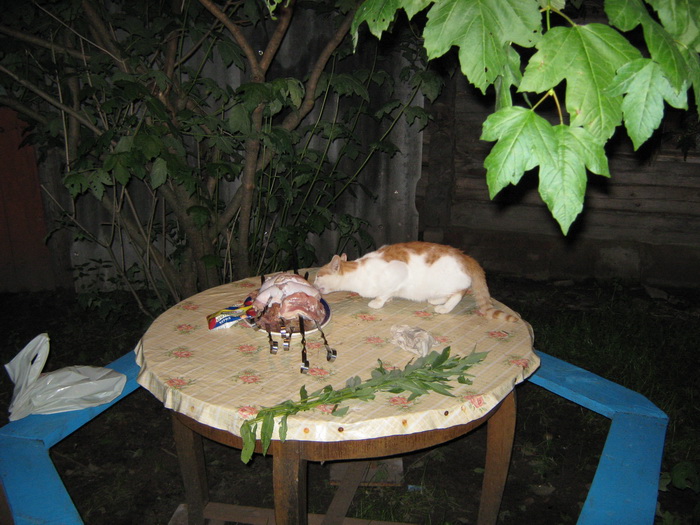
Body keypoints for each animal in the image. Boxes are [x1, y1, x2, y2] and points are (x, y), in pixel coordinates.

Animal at [314, 241, 519, 322]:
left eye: (317, 276)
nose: (313, 284)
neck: (358, 271)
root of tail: (466, 257)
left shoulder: (399, 272)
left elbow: (385, 293)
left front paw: (378, 302)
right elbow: (388, 293)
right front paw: (388, 299)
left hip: (449, 281)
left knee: (460, 292)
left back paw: (444, 307)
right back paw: (436, 300)